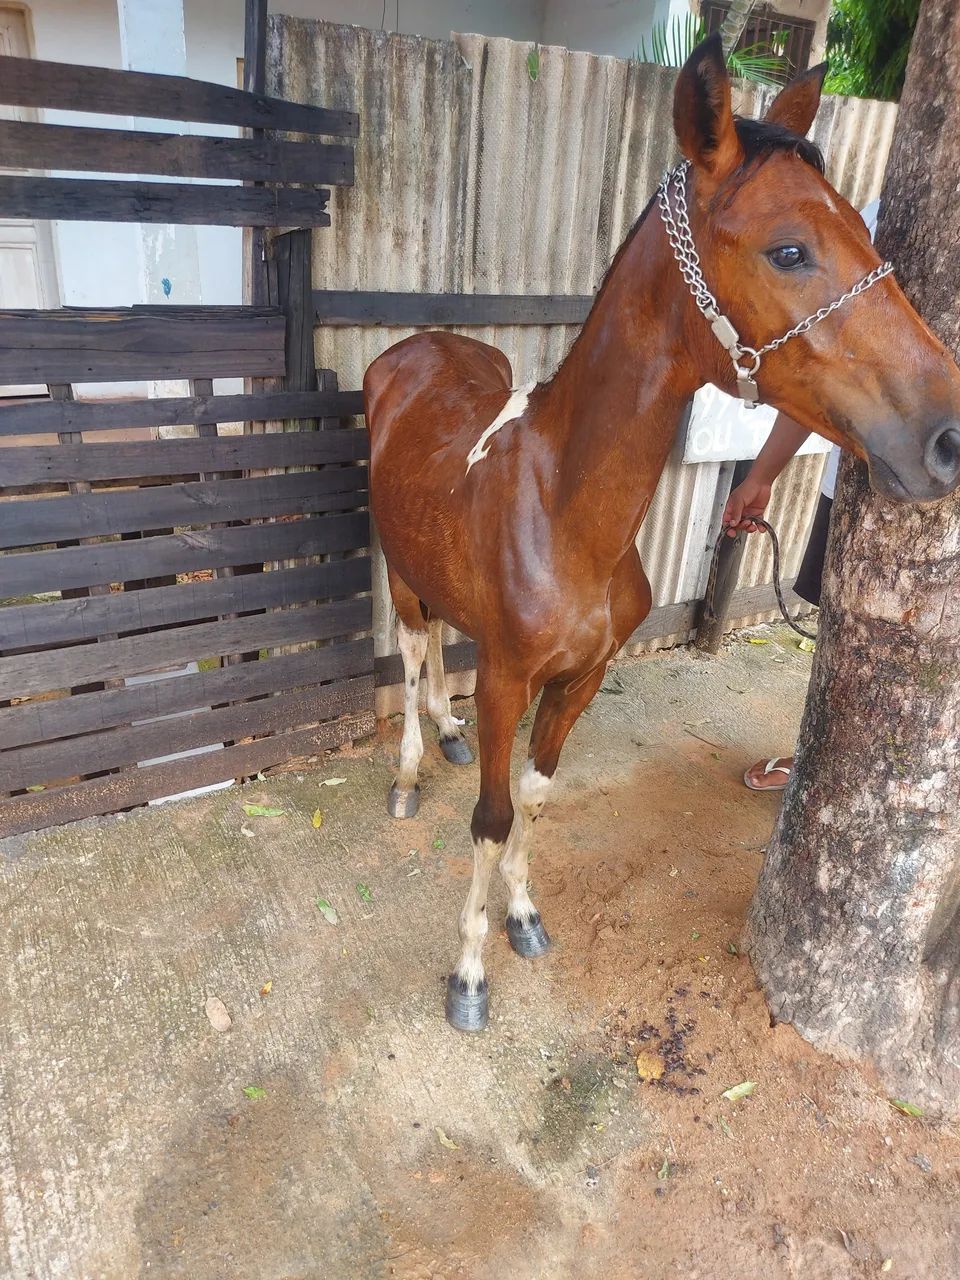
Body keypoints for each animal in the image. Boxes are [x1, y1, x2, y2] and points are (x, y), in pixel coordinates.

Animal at [363, 35, 960, 1032]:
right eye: (789, 249)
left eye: (868, 234)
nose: (948, 438)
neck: (564, 513)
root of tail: (411, 351)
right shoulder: (509, 680)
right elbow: (490, 817)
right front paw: (470, 977)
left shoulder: (580, 679)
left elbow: (534, 797)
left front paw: (523, 918)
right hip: (397, 568)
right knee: (411, 653)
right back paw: (410, 772)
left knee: (435, 647)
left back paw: (443, 734)